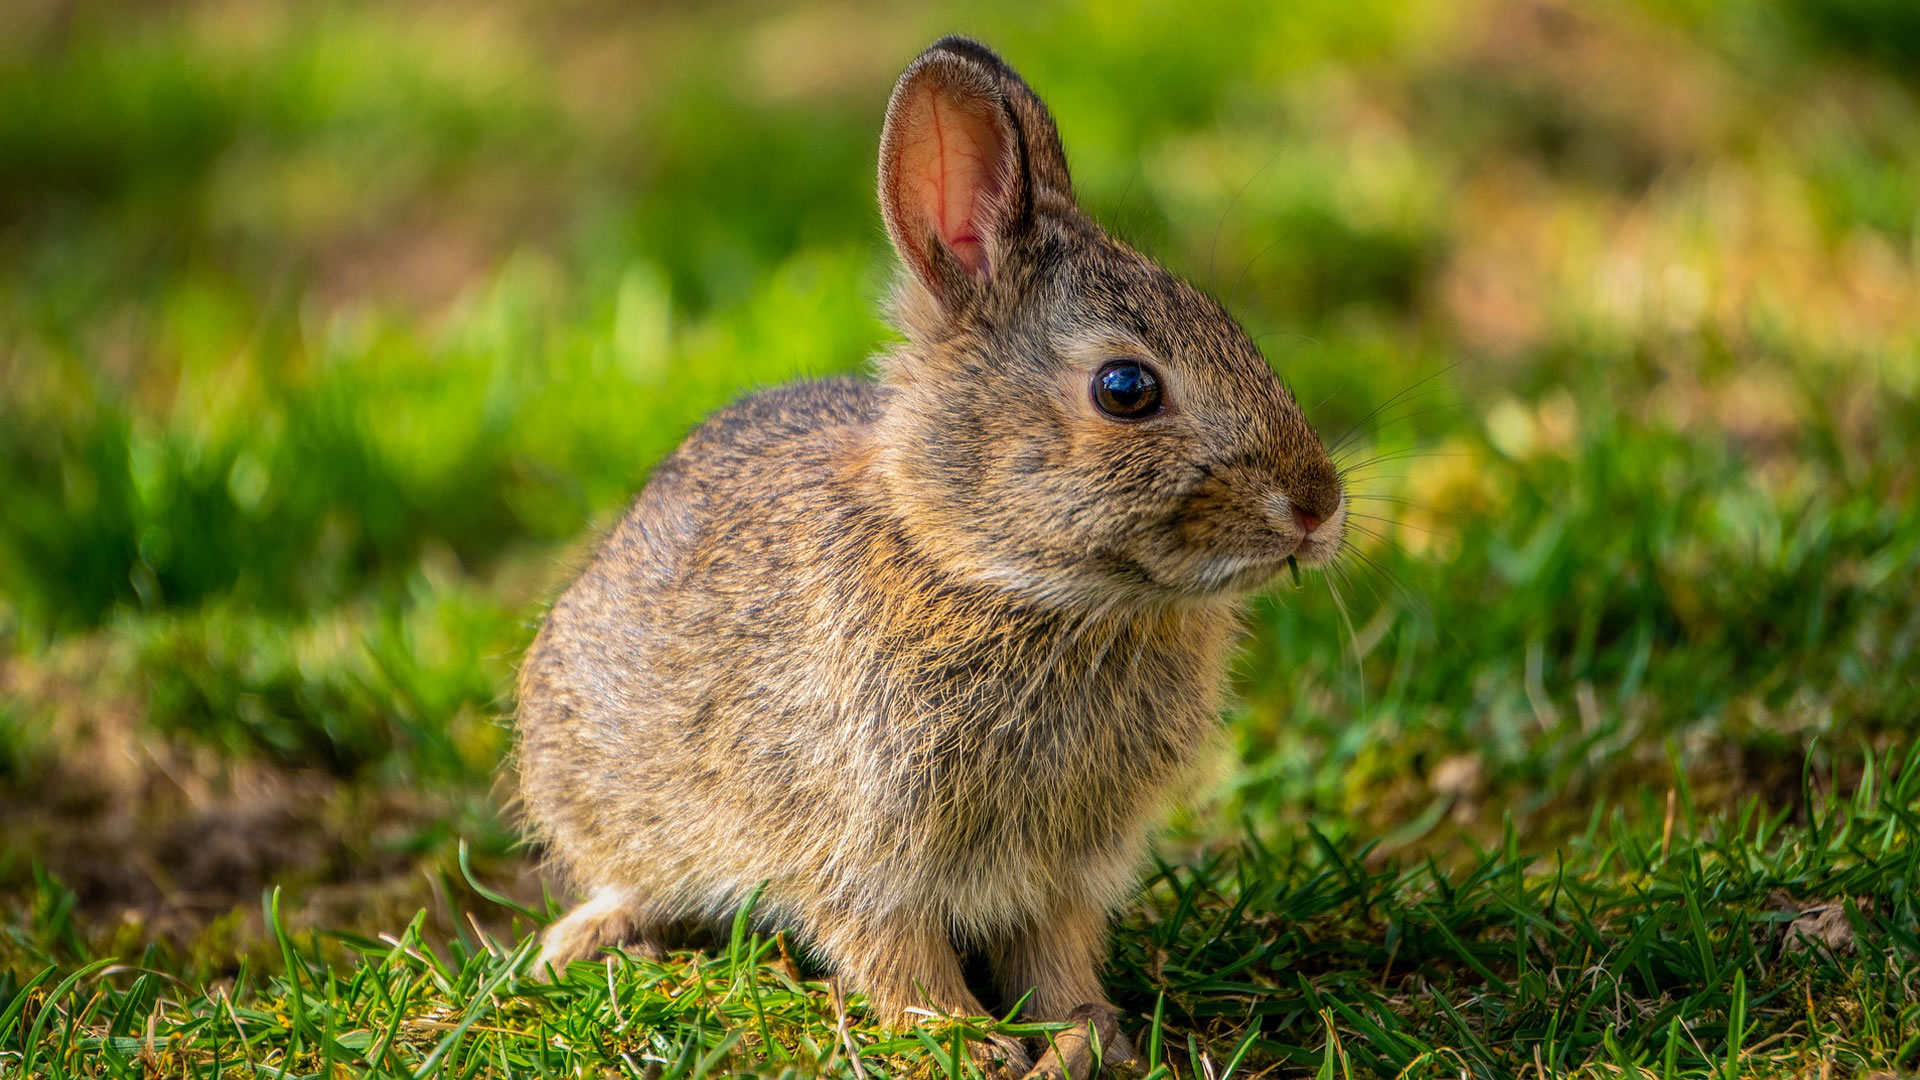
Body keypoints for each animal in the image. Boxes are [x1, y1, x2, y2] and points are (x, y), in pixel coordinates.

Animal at [518, 35, 1344, 1076]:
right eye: (1126, 388)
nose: (1319, 506)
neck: (998, 578)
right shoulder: (856, 847)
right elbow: (892, 951)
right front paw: (963, 1039)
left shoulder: (1063, 870)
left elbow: (1058, 956)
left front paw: (1087, 1038)